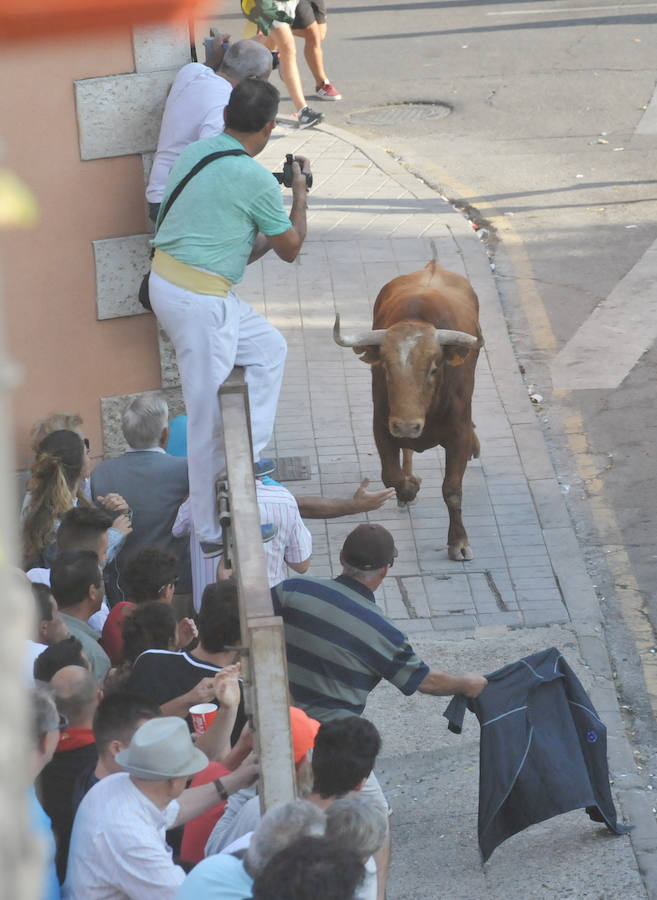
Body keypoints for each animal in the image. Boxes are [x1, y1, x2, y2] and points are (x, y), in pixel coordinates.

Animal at [334, 256, 482, 560]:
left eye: (434, 369)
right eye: (386, 370)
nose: (406, 425)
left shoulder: (458, 433)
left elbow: (452, 489)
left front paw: (458, 541)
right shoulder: (383, 426)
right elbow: (391, 477)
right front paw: (410, 487)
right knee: (407, 450)